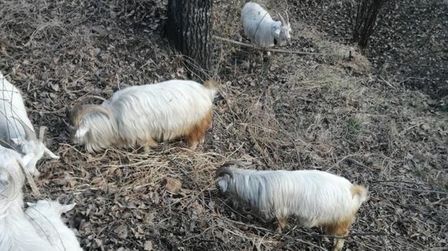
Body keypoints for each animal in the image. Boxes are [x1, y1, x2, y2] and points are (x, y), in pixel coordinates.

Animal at [69, 79, 218, 152]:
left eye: (80, 133)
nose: (73, 142)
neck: (114, 117)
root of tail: (207, 92)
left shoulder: (141, 133)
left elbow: (147, 143)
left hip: (195, 121)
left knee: (195, 138)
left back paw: (189, 148)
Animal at [216, 162, 368, 250]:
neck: (258, 185)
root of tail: (354, 191)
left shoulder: (280, 210)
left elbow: (280, 223)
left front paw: (276, 233)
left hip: (339, 222)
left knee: (343, 235)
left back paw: (335, 248)